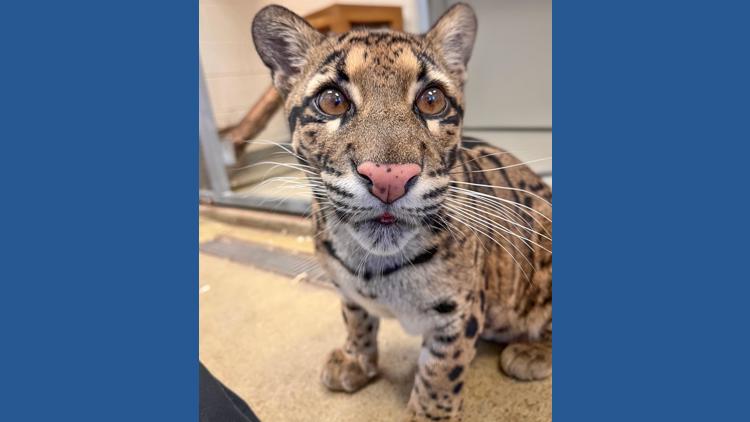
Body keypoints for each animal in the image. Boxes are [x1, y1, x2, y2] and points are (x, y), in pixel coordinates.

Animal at [251, 3, 552, 421]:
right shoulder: (347, 289)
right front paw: (356, 359)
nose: (389, 178)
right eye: (332, 101)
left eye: (432, 100)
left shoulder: (459, 311)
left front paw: (430, 414)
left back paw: (530, 351)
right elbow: (356, 320)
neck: (372, 266)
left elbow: (441, 369)